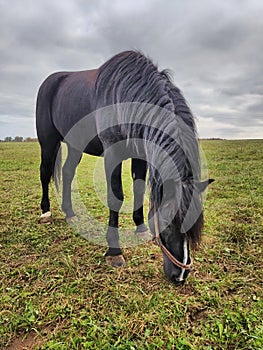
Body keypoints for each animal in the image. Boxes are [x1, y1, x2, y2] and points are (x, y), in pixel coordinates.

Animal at [36, 50, 214, 284]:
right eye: (168, 222)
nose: (180, 275)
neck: (127, 95)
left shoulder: (141, 154)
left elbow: (138, 188)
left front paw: (141, 228)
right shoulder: (112, 152)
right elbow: (116, 196)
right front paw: (114, 251)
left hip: (75, 145)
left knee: (67, 172)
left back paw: (70, 212)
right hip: (48, 142)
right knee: (45, 172)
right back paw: (46, 212)